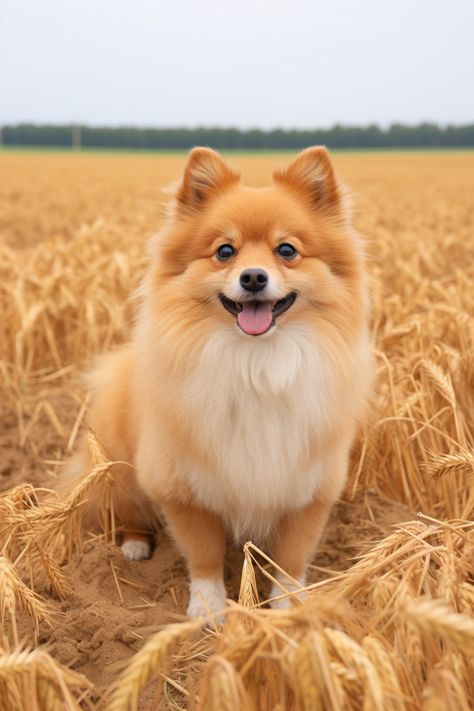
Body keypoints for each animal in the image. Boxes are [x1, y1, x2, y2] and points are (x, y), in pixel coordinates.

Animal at [69, 149, 374, 616]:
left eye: (287, 251)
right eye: (224, 252)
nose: (253, 276)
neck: (257, 363)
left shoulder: (309, 488)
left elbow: (291, 558)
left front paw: (288, 608)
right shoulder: (181, 487)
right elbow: (203, 552)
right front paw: (209, 608)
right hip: (120, 469)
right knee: (128, 512)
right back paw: (135, 547)